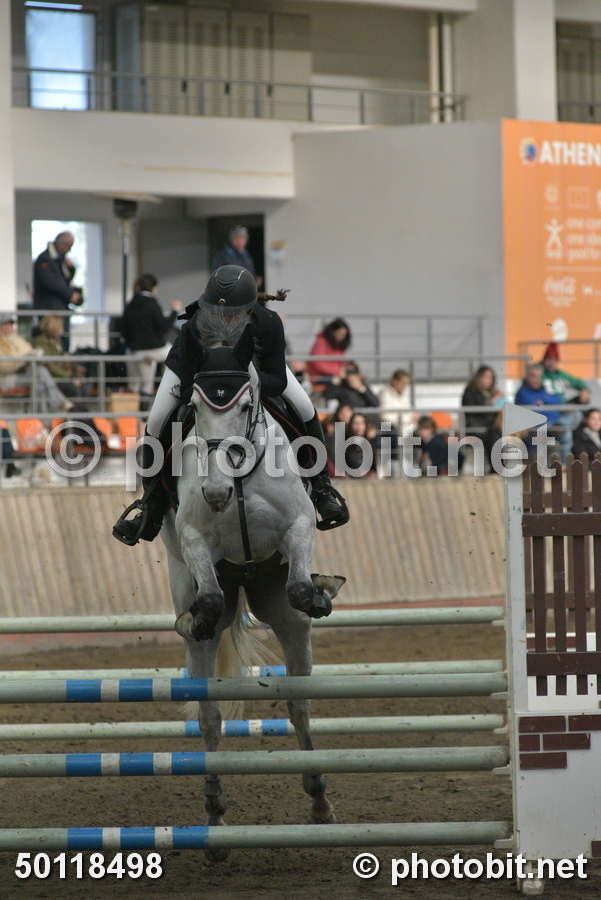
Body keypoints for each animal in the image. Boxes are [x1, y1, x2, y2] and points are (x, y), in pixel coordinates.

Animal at [160, 346, 345, 853]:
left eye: (245, 406)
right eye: (194, 408)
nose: (216, 492)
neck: (239, 479)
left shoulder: (298, 527)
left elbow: (300, 586)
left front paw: (320, 593)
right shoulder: (194, 538)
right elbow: (207, 599)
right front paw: (198, 618)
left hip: (283, 616)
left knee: (299, 704)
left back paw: (320, 801)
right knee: (209, 717)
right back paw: (215, 814)